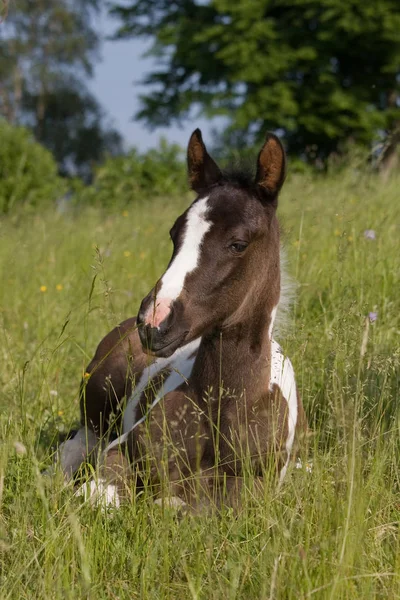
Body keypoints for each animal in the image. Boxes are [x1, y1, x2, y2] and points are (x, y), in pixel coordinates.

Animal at [59, 129, 308, 508]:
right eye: (175, 233)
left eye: (238, 243)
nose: (154, 322)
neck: (220, 409)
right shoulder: (124, 449)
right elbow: (99, 496)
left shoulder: (256, 489)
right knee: (80, 440)